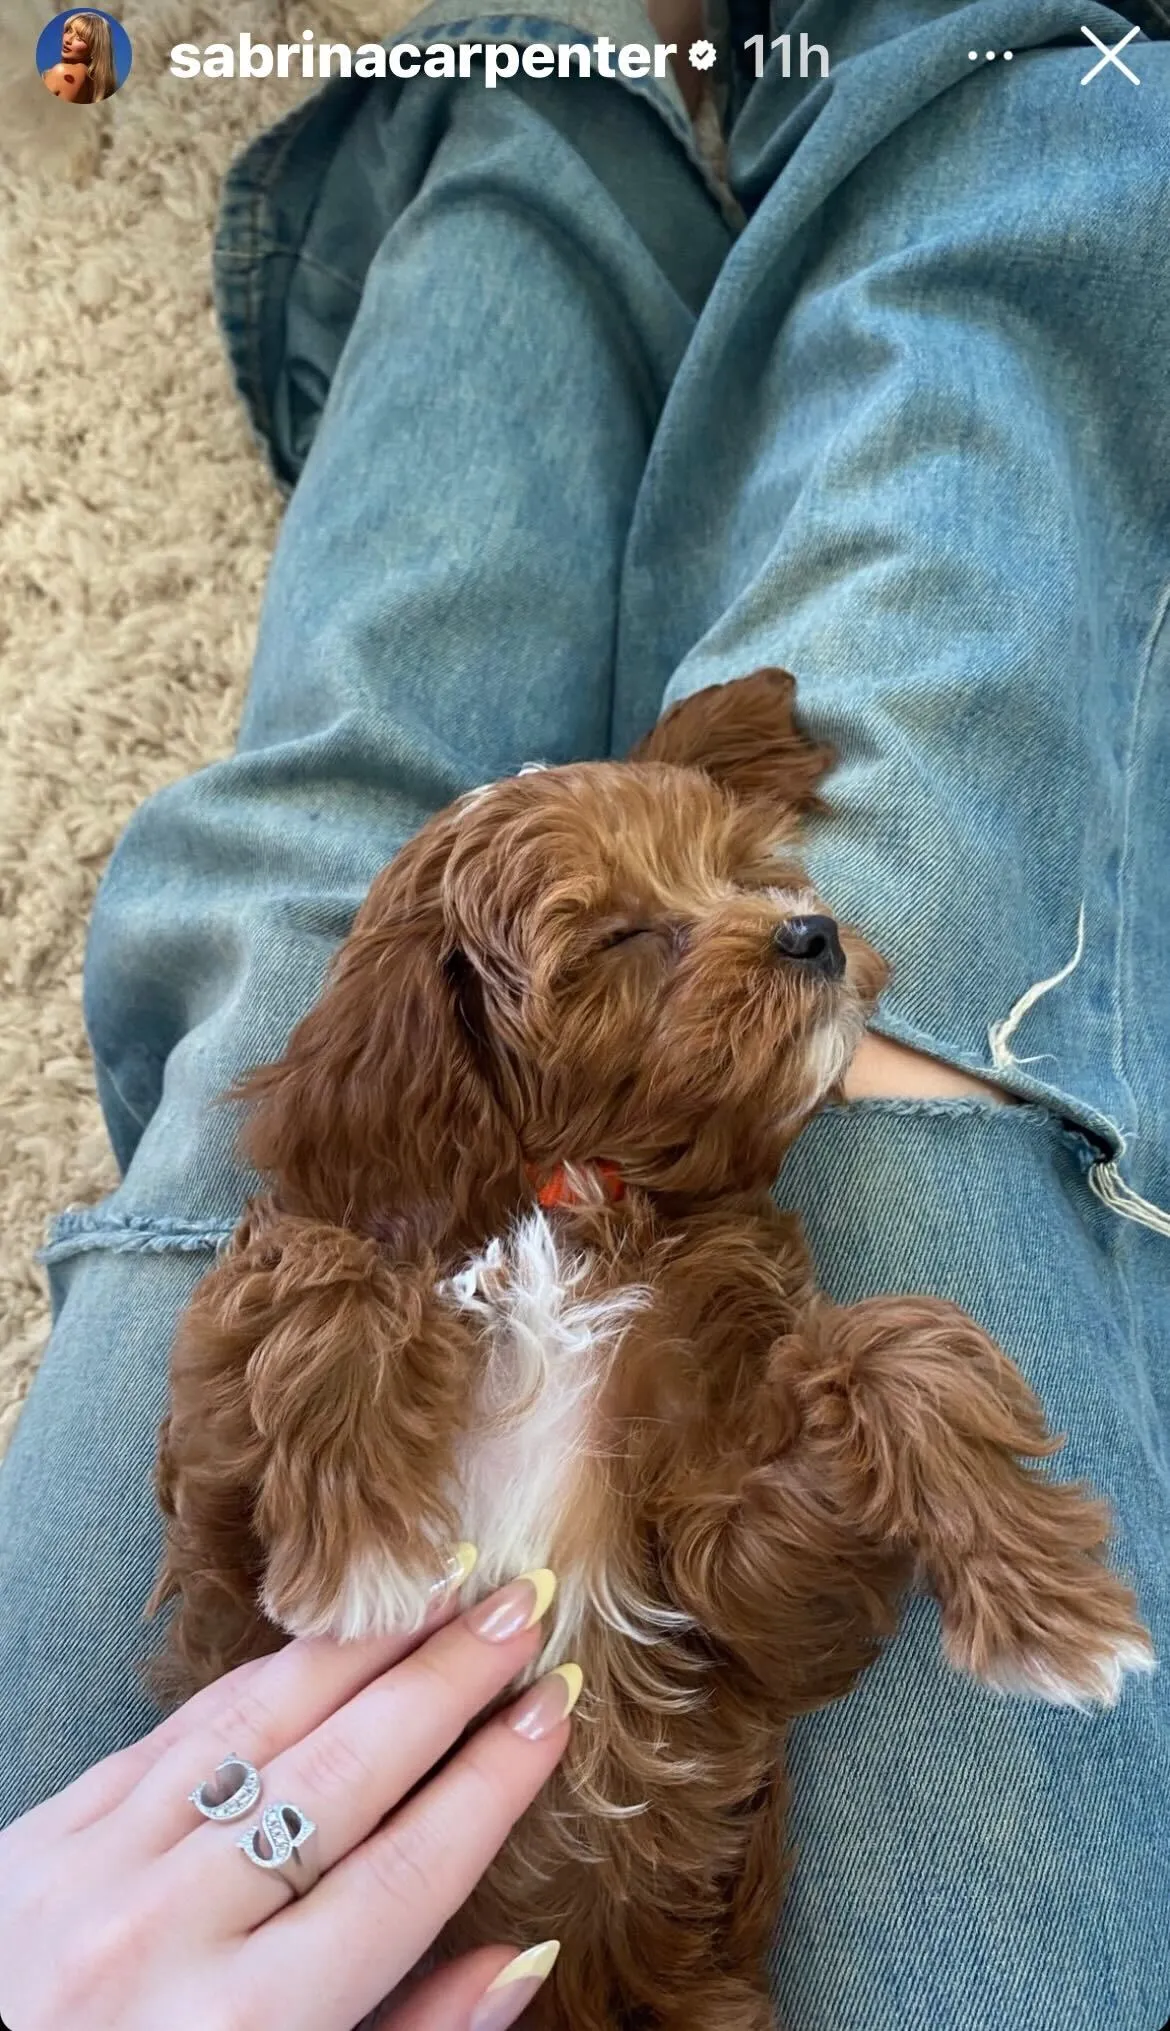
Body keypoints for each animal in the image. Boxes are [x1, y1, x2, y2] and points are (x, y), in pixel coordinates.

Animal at [148, 670, 1153, 2030]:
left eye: (744, 872)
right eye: (620, 937)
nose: (810, 931)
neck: (584, 1201)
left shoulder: (742, 1599)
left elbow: (892, 1349)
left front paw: (1054, 1612)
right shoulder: (224, 1566)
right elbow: (321, 1267)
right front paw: (363, 1545)